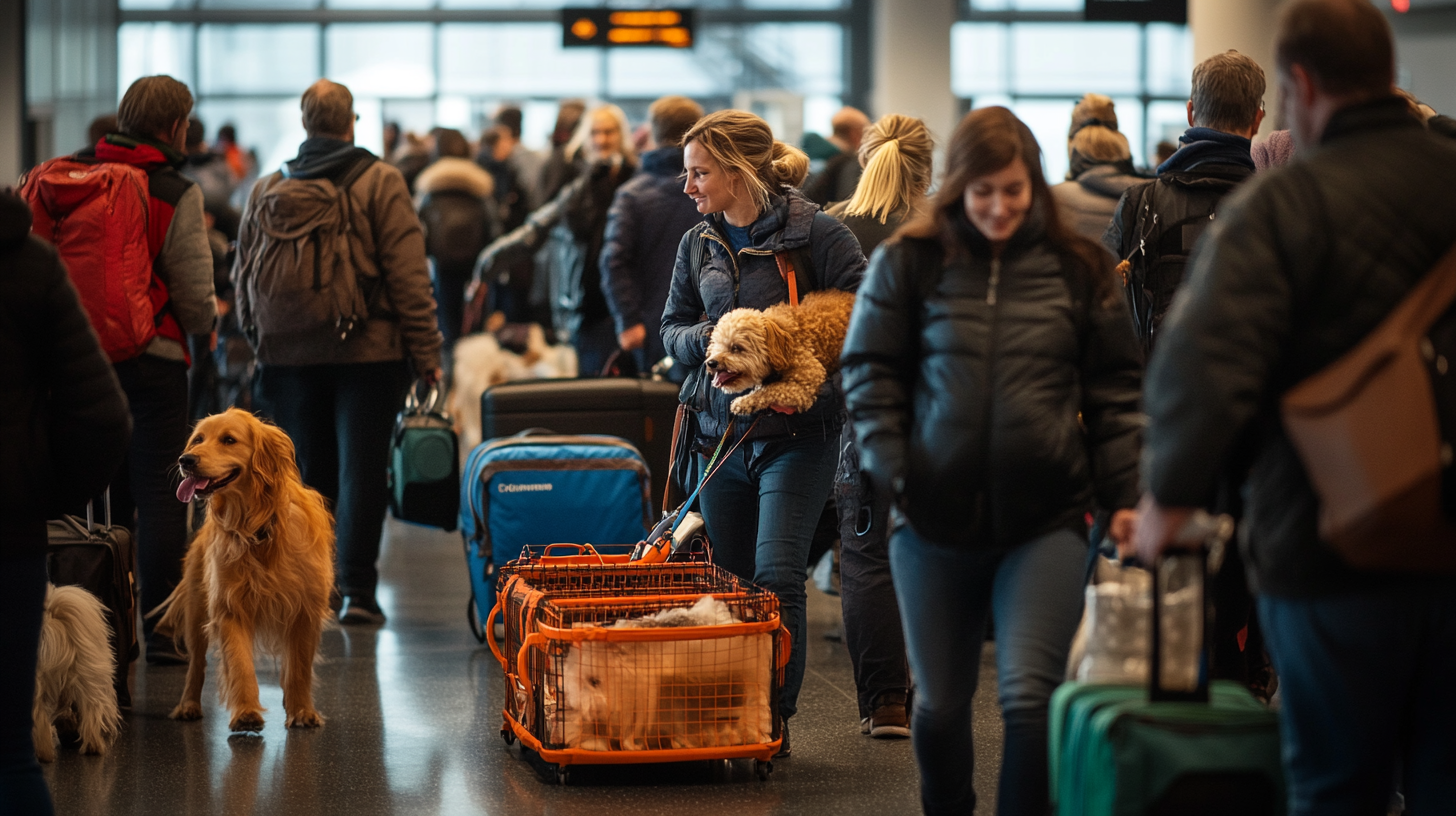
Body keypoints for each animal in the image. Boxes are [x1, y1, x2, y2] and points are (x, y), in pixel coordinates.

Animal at [153, 410, 334, 728]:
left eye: (229, 440)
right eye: (198, 439)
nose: (186, 460)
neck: (258, 527)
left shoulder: (305, 609)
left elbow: (299, 667)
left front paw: (302, 710)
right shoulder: (229, 606)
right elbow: (240, 664)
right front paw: (246, 711)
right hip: (197, 610)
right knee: (196, 664)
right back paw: (188, 705)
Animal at [701, 287, 850, 413]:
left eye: (736, 348)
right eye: (715, 345)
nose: (711, 363)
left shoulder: (807, 382)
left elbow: (772, 389)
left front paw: (743, 402)